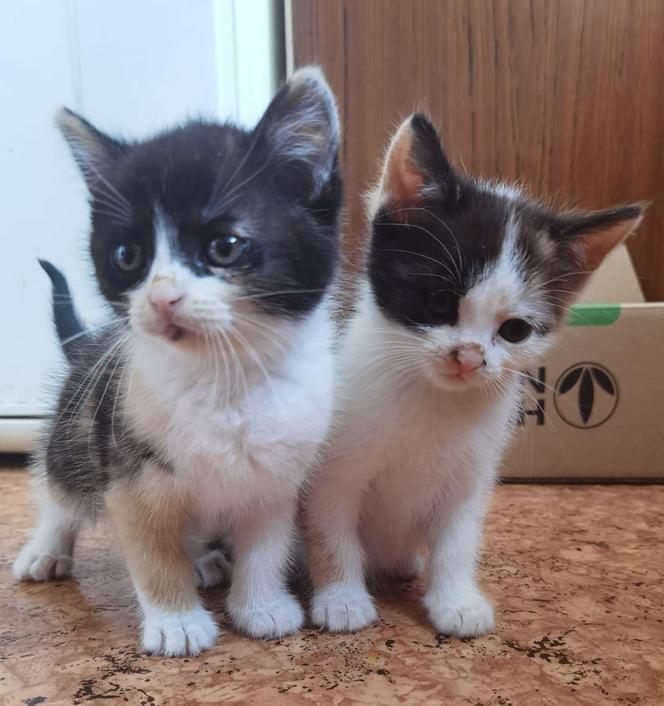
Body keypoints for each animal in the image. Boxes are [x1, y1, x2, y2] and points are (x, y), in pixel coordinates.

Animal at [14, 67, 342, 656]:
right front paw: (176, 623)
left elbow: (266, 543)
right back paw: (46, 548)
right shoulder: (129, 472)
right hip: (81, 423)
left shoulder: (278, 476)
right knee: (60, 486)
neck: (223, 378)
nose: (163, 297)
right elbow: (151, 549)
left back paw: (207, 559)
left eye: (226, 246)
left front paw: (261, 606)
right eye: (127, 256)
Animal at [306, 114, 644, 632]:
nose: (468, 356)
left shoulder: (471, 475)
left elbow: (459, 538)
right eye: (438, 301)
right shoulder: (333, 471)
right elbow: (332, 529)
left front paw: (456, 600)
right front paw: (342, 599)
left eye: (515, 330)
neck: (432, 400)